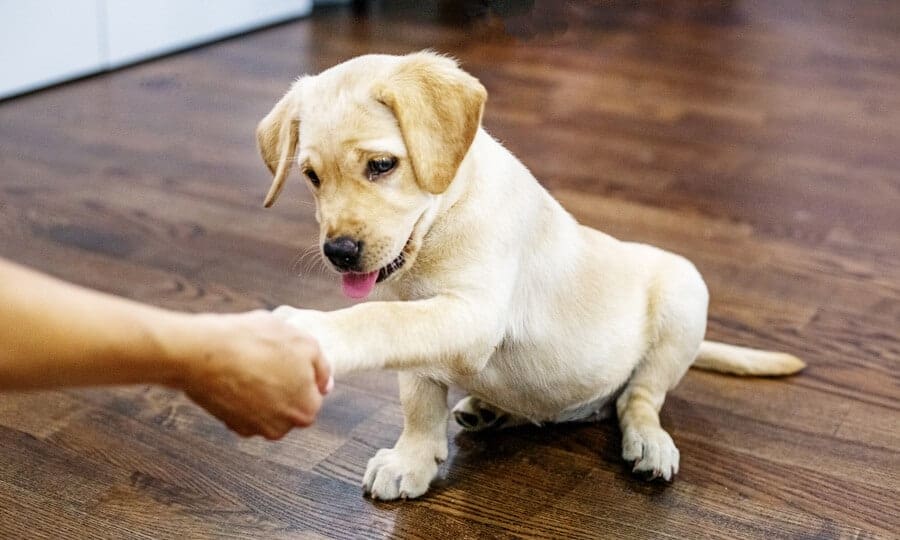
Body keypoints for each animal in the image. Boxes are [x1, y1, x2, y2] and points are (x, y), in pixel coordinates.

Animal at [256, 52, 804, 500]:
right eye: (310, 177)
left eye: (382, 165)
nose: (339, 252)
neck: (444, 218)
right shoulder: (419, 327)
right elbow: (417, 396)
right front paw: (412, 460)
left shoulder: (472, 315)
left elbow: (377, 321)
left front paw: (311, 330)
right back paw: (492, 410)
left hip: (683, 294)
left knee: (638, 397)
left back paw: (649, 443)